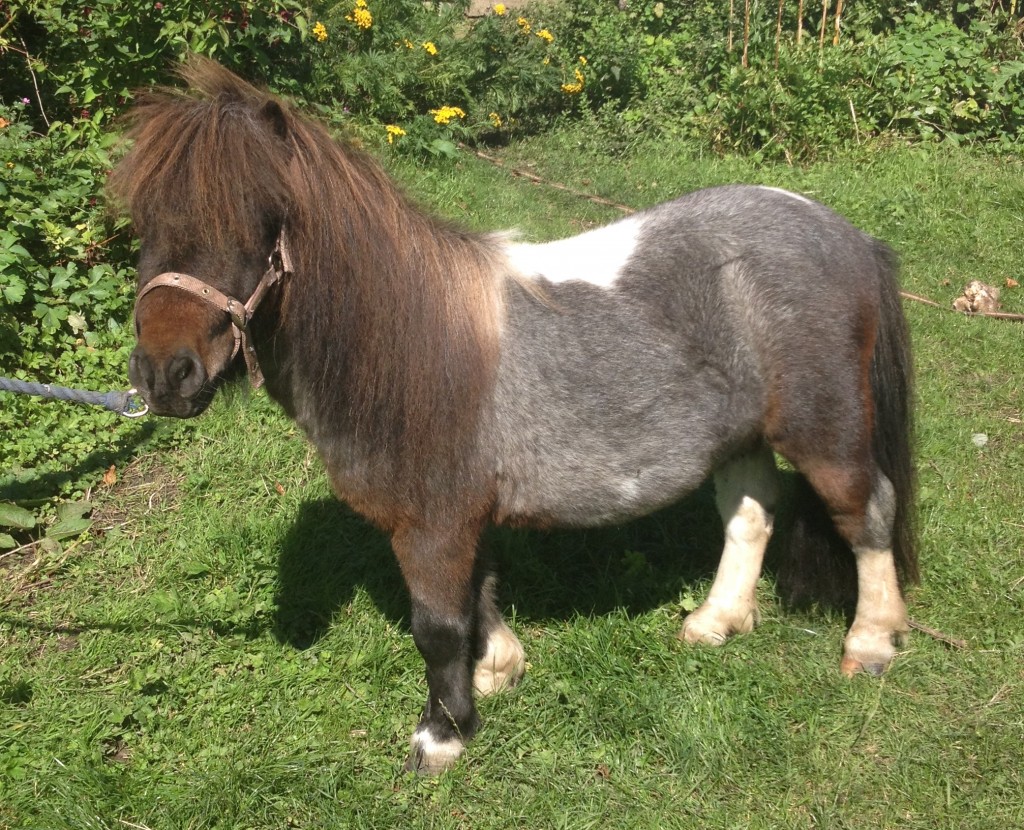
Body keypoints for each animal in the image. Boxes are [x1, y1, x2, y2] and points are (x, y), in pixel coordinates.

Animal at [109, 57, 917, 774]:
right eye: (143, 221)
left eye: (256, 222)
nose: (164, 376)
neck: (406, 347)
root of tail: (847, 236)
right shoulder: (462, 516)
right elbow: (478, 593)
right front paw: (497, 668)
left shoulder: (432, 522)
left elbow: (436, 626)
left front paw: (443, 733)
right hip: (740, 434)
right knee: (750, 513)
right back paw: (715, 622)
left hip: (823, 431)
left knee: (867, 512)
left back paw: (871, 644)